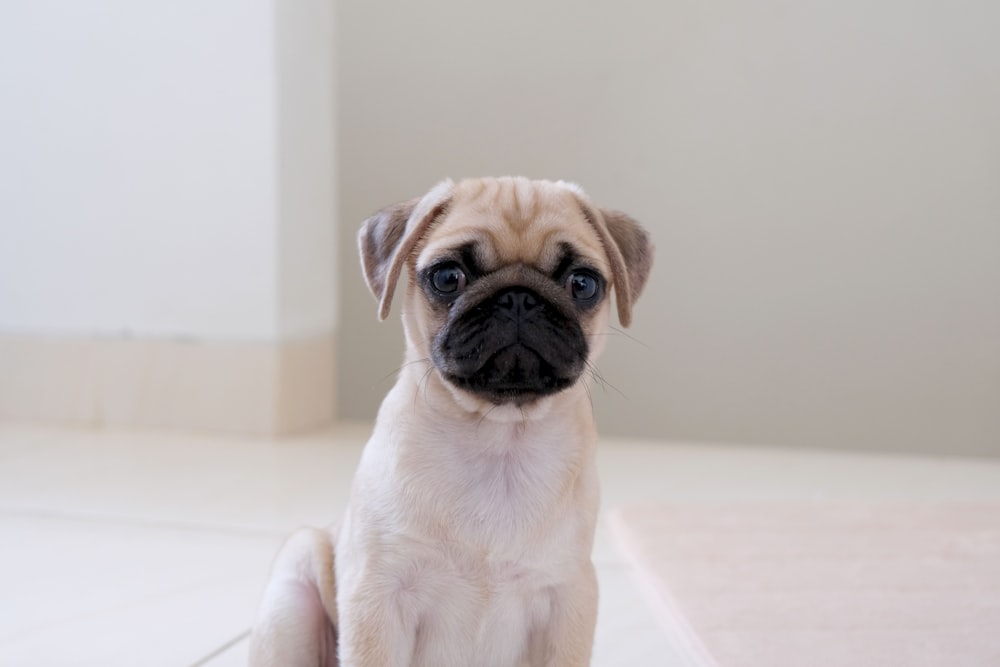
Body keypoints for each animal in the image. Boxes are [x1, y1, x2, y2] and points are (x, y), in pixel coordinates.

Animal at [250, 175, 652, 664]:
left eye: (583, 283)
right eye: (447, 277)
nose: (518, 298)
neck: (499, 439)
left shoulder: (566, 599)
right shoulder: (378, 598)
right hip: (296, 581)